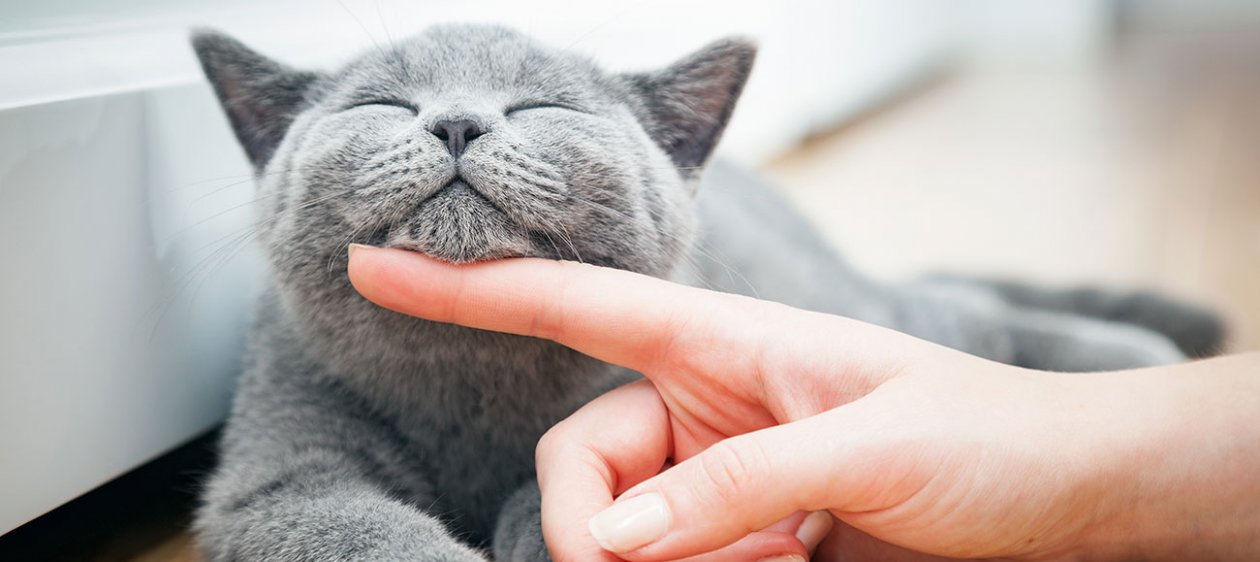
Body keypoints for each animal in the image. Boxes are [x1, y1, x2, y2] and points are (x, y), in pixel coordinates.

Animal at [191, 24, 1224, 559]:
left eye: (542, 107)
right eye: (381, 106)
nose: (455, 122)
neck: (469, 378)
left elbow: (552, 482)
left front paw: (535, 525)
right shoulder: (280, 475)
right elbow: (365, 530)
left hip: (846, 307)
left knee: (959, 319)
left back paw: (1137, 362)